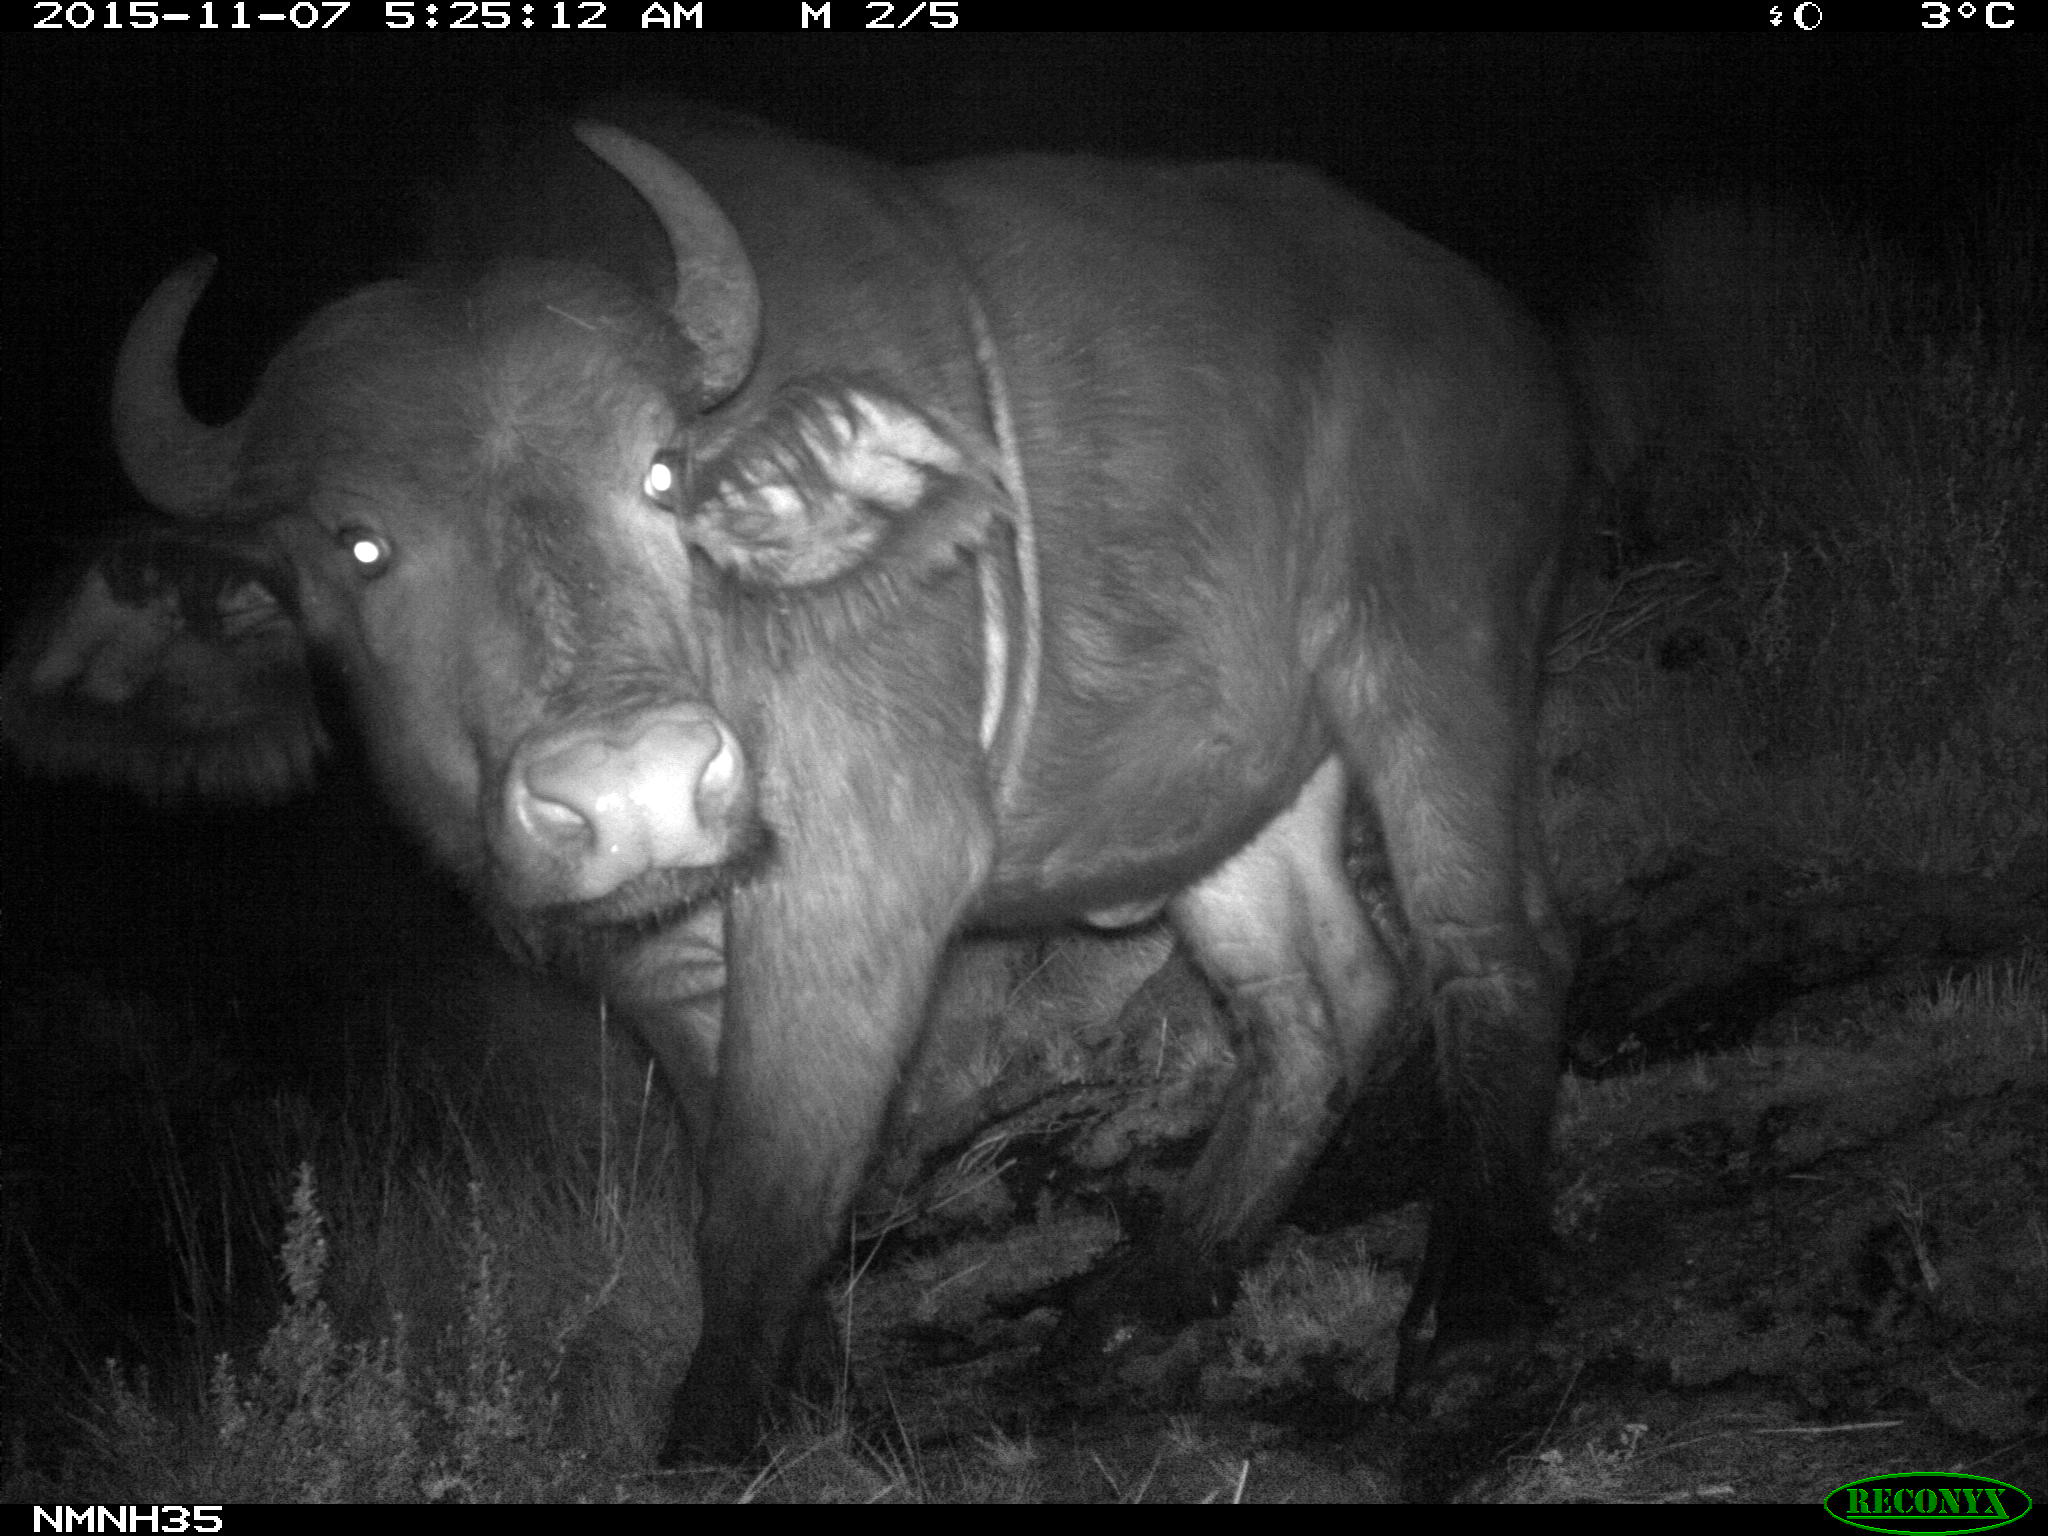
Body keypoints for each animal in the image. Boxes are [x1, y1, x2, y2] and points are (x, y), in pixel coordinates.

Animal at [0, 102, 1572, 1458]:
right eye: (358, 544)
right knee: (1319, 1001)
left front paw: (712, 1437)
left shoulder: (862, 878)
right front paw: (802, 1393)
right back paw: (1142, 1300)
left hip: (1437, 650)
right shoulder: (653, 958)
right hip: (1232, 798)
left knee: (1489, 949)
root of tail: (1478, 314)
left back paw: (1471, 1309)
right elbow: (728, 1178)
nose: (632, 789)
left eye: (657, 475)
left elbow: (764, 1201)